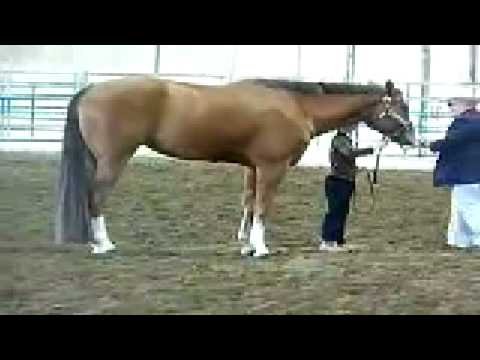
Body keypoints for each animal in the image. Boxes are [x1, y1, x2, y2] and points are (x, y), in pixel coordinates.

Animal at [54, 76, 414, 258]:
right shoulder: (272, 168)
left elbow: (249, 204)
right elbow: (263, 207)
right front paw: (261, 248)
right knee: (95, 198)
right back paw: (104, 245)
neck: (297, 105)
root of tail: (90, 89)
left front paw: (246, 245)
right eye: (400, 106)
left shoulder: (253, 168)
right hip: (113, 159)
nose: (413, 138)